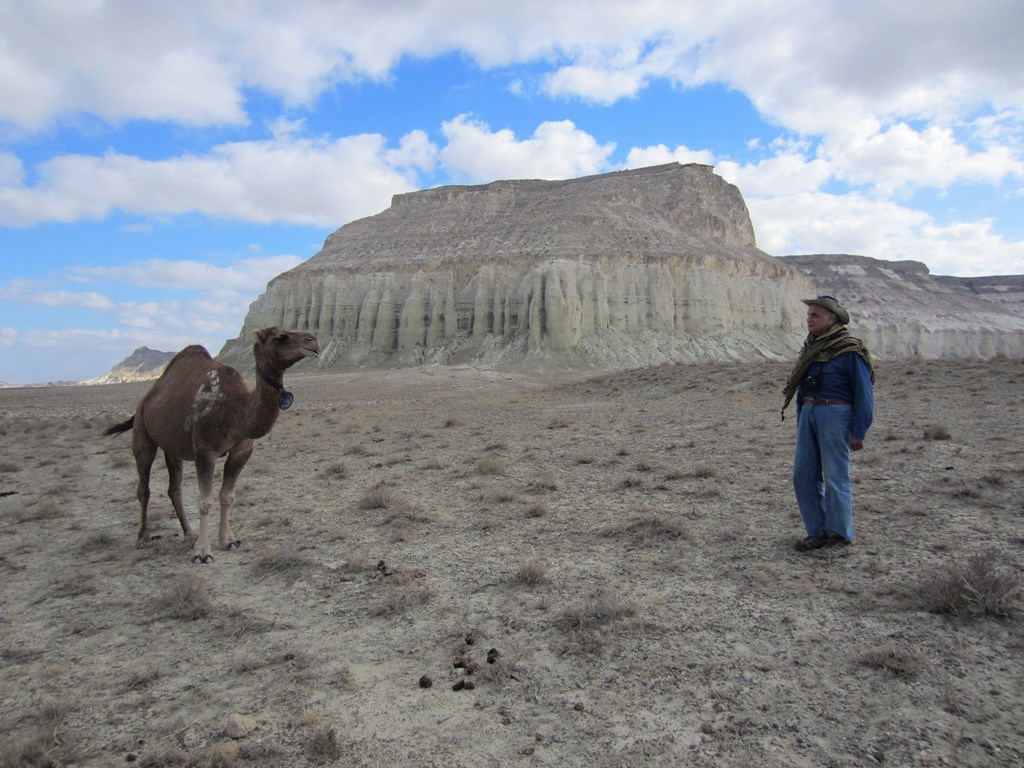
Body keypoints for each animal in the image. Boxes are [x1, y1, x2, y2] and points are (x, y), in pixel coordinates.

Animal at [103, 327, 317, 561]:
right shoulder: (204, 451)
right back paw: (143, 538)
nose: (313, 340)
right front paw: (203, 552)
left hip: (172, 448)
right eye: (279, 338)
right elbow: (205, 501)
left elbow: (227, 496)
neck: (237, 411)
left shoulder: (242, 451)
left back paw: (189, 533)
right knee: (144, 487)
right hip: (143, 434)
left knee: (174, 489)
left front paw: (228, 540)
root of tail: (145, 400)